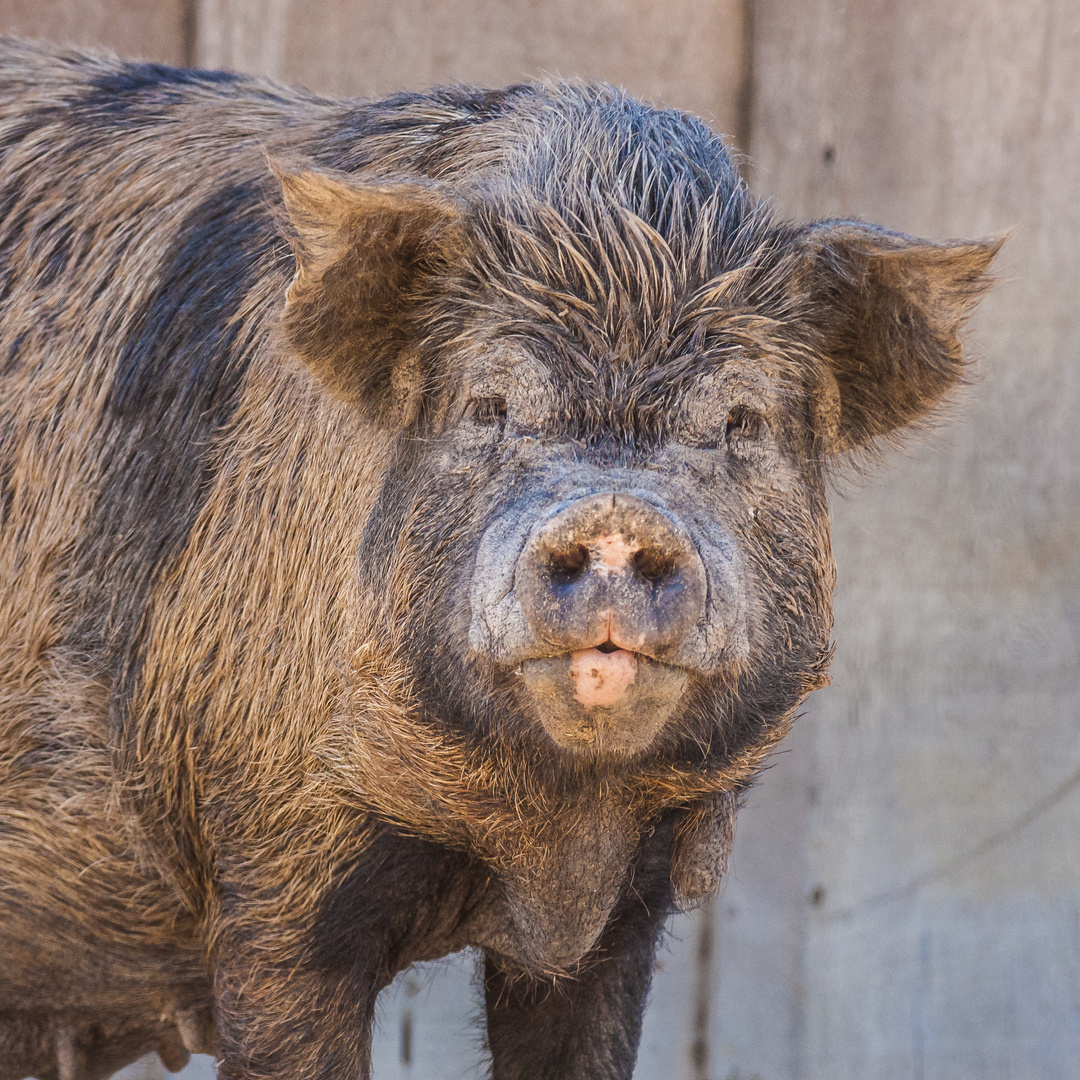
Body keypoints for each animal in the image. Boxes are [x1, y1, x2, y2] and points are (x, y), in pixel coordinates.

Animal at [0, 35, 997, 1080]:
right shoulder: (270, 861)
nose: (615, 509)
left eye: (740, 420)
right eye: (489, 405)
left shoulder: (625, 915)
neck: (550, 837)